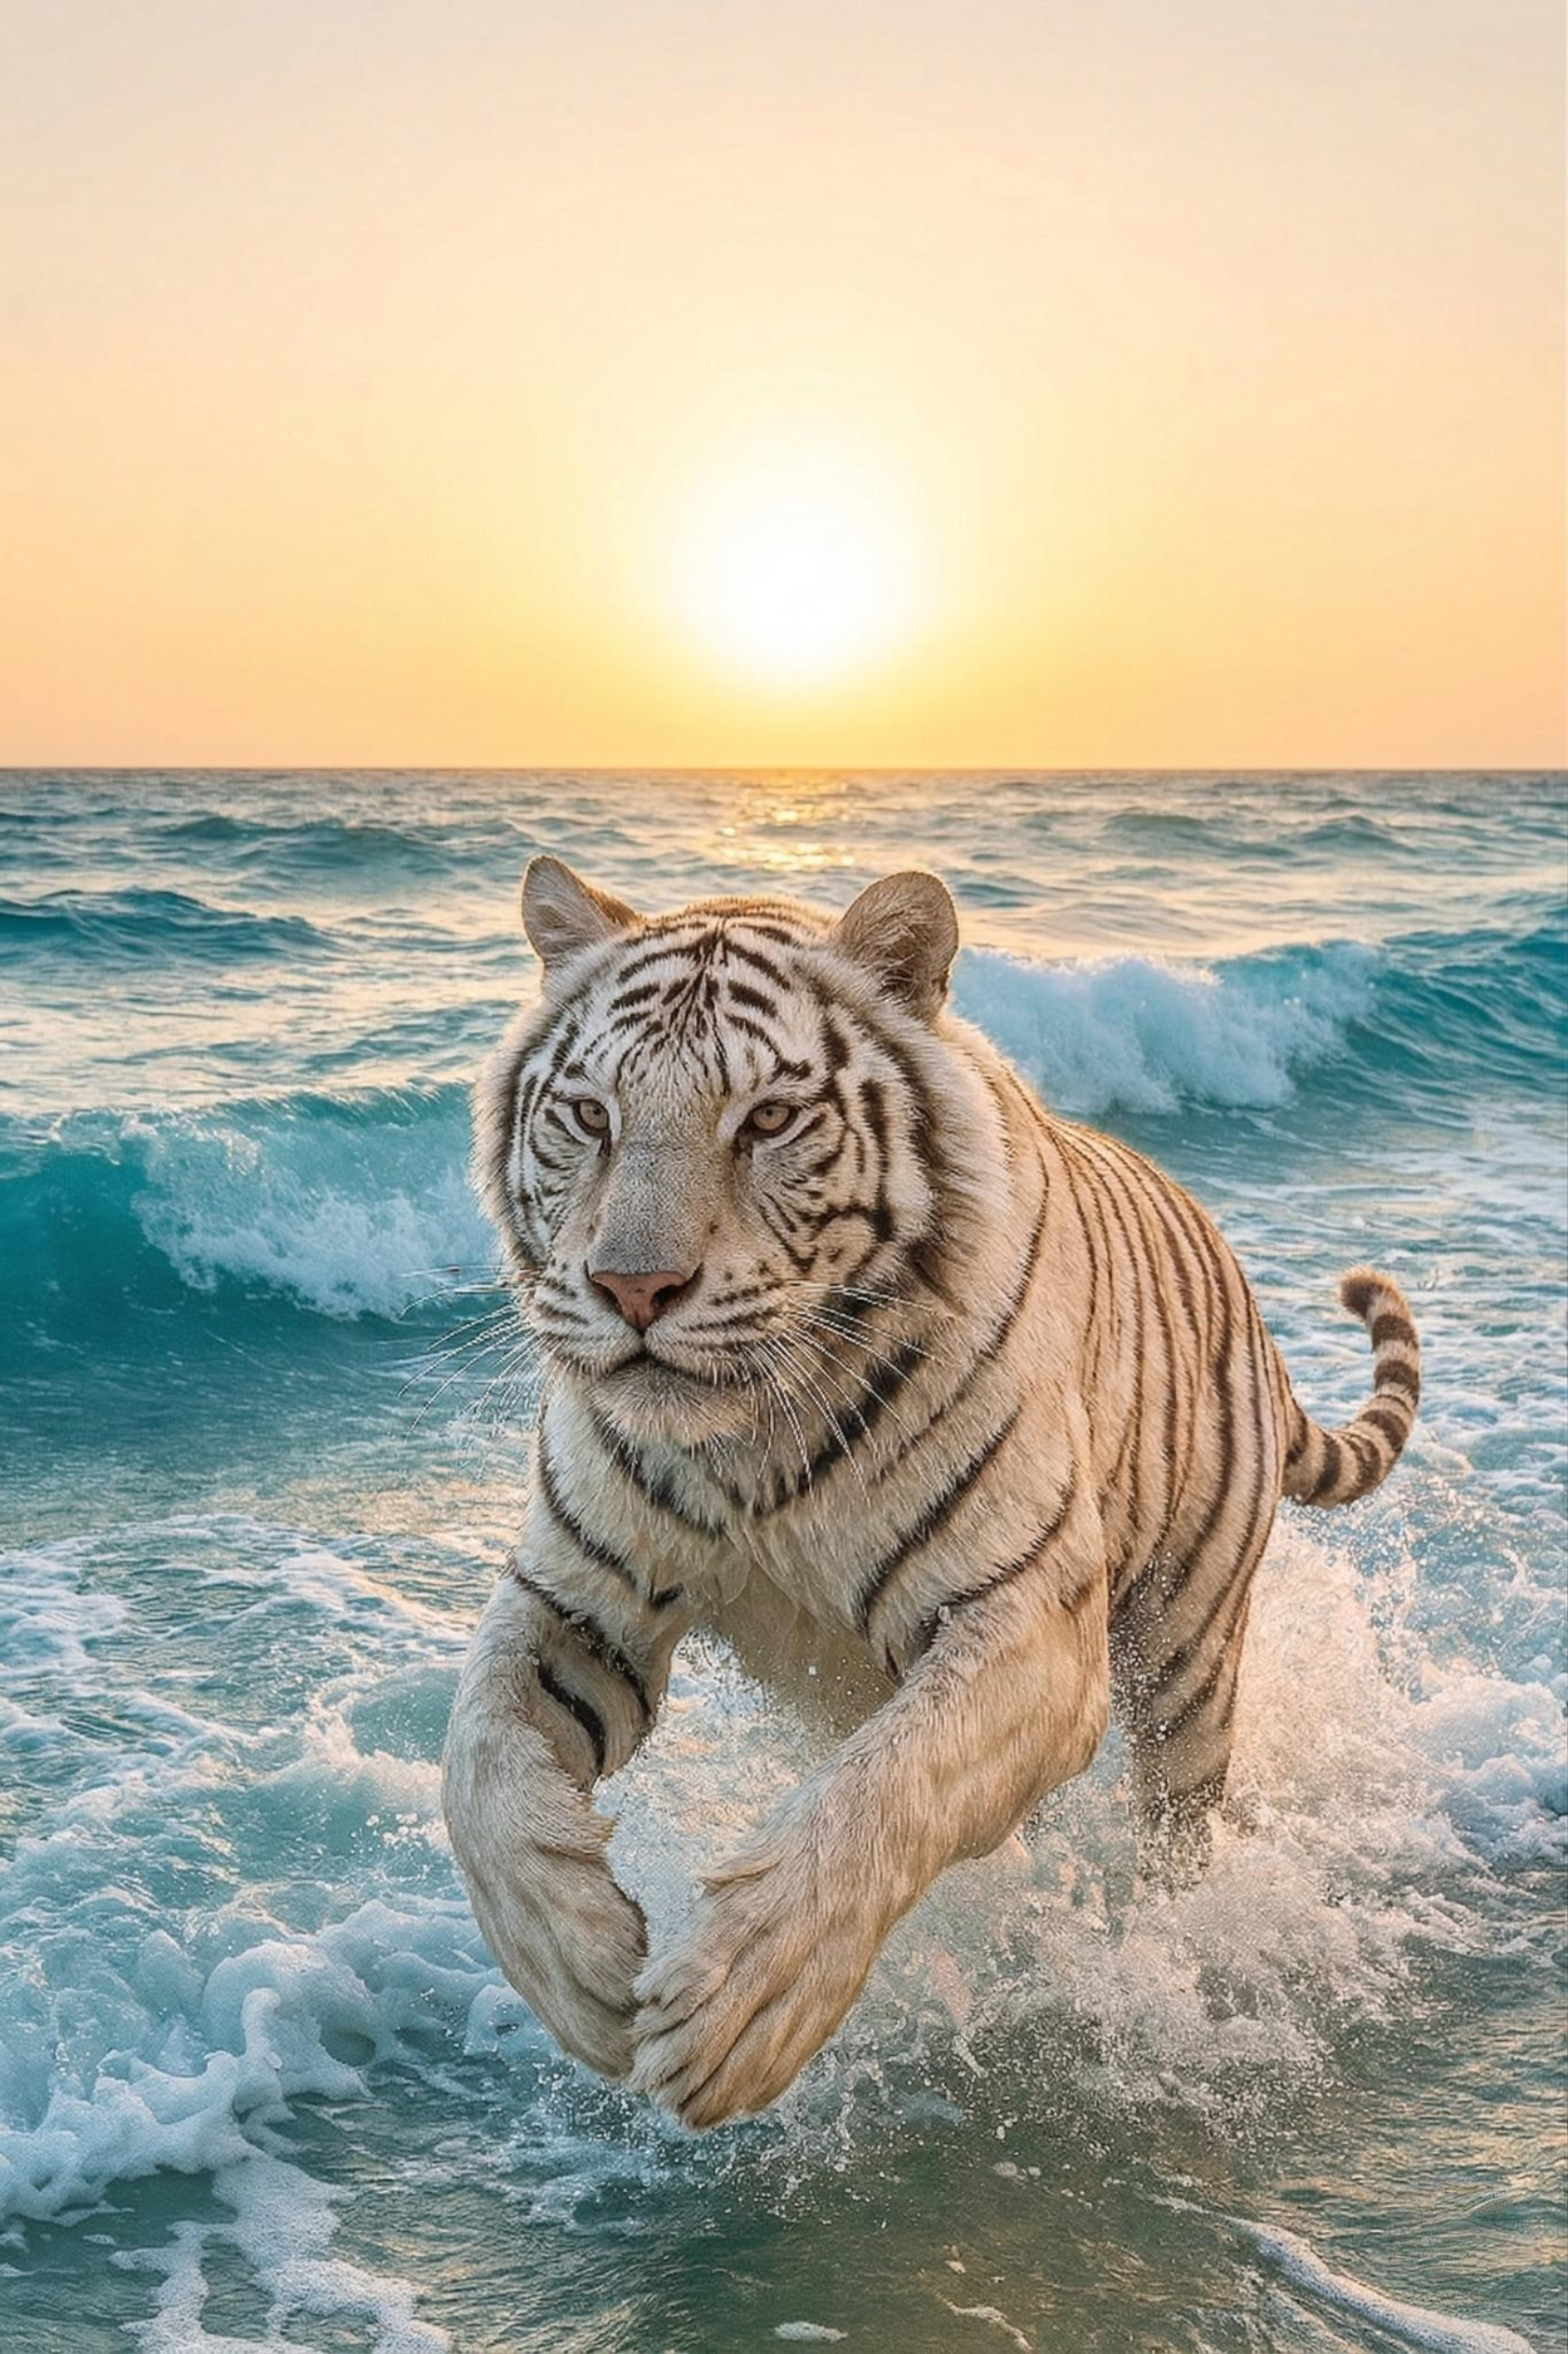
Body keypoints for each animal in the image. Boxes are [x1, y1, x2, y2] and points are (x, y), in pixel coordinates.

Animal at [441, 855, 1421, 2129]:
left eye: (767, 1119)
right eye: (592, 1115)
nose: (632, 1286)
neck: (749, 1442)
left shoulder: (1027, 1621)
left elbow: (883, 1789)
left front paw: (740, 2001)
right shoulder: (575, 1602)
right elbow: (477, 1766)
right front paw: (582, 1965)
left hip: (1187, 1652)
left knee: (1177, 1823)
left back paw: (1172, 1950)